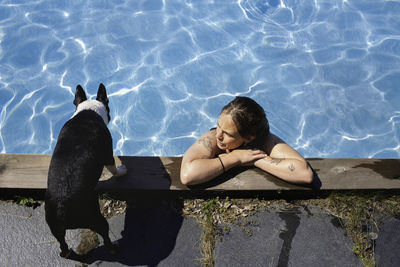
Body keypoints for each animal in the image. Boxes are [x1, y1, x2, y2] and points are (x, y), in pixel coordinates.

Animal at [45, 84, 126, 260]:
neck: (88, 111)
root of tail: (62, 207)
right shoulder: (107, 154)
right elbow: (113, 168)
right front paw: (122, 171)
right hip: (96, 218)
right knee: (105, 236)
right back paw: (114, 248)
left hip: (54, 226)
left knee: (62, 243)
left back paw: (65, 253)